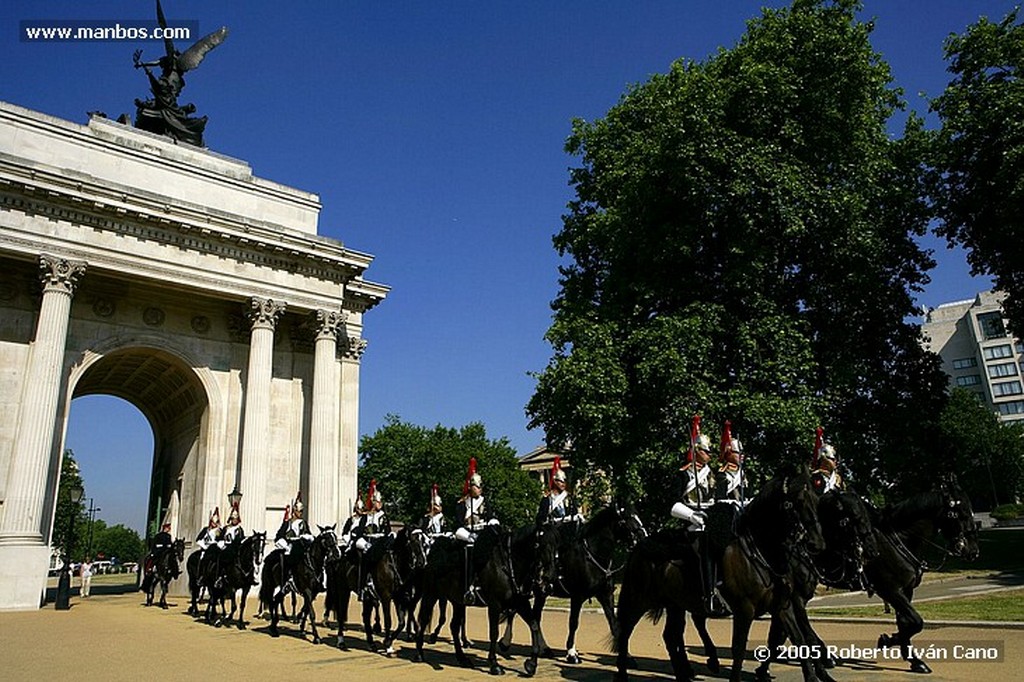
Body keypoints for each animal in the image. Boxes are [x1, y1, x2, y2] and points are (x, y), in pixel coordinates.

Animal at [411, 520, 557, 675]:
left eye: (556, 544)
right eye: (541, 544)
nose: (550, 577)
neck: (507, 564)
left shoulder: (520, 602)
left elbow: (534, 625)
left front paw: (532, 663)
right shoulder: (494, 605)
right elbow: (494, 632)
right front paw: (494, 664)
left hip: (457, 601)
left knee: (454, 626)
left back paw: (462, 658)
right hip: (431, 595)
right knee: (424, 619)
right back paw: (419, 653)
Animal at [497, 499, 647, 659]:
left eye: (638, 515)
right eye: (627, 518)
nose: (644, 537)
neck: (592, 555)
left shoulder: (605, 595)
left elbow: (613, 622)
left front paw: (626, 655)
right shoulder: (577, 596)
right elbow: (573, 622)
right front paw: (571, 652)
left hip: (540, 593)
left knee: (534, 617)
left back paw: (543, 648)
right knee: (516, 613)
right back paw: (506, 642)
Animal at [864, 473, 983, 667]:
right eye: (962, 513)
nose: (973, 551)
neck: (898, 541)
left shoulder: (906, 589)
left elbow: (906, 622)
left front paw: (913, 659)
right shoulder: (889, 590)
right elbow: (916, 622)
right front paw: (887, 640)